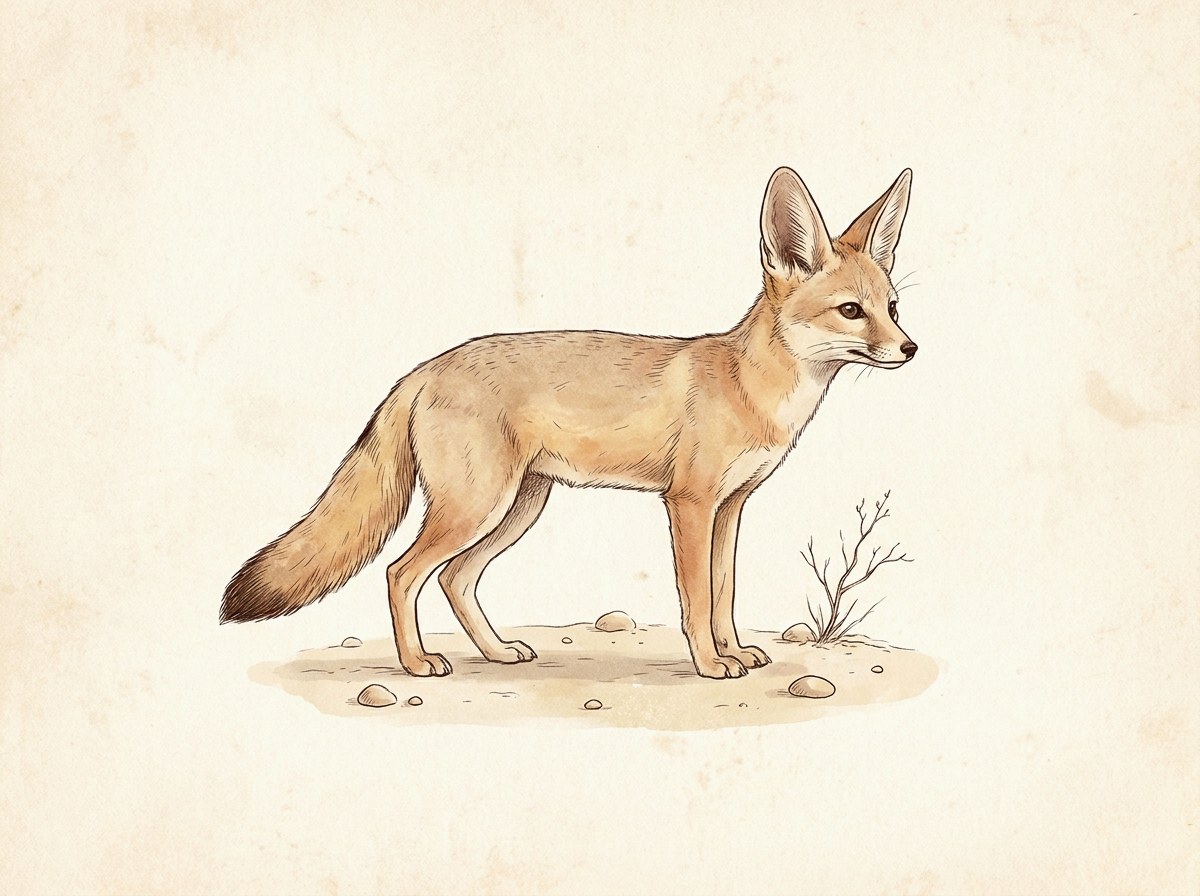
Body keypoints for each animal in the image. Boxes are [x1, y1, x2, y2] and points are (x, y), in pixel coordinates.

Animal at [222, 166, 918, 679]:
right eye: (850, 311)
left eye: (892, 307)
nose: (911, 350)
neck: (752, 387)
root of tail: (425, 367)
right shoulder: (689, 504)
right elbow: (696, 601)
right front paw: (707, 664)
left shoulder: (731, 508)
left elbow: (723, 595)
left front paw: (734, 651)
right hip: (477, 506)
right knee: (402, 572)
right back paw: (418, 663)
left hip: (518, 507)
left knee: (453, 578)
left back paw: (497, 653)